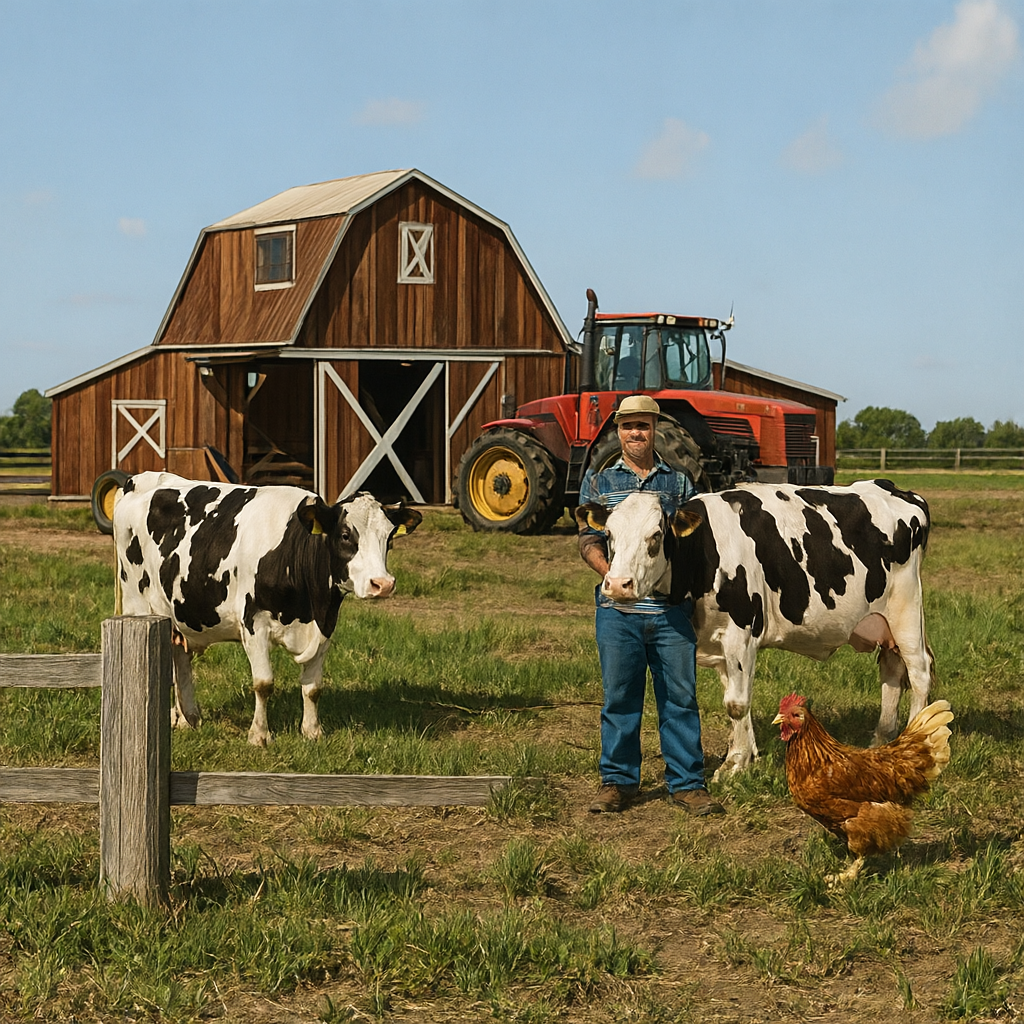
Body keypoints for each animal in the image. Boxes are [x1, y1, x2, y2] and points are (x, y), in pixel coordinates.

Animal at [113, 472, 422, 746]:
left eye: (389, 537)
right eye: (346, 535)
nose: (382, 584)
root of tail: (138, 479)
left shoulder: (326, 625)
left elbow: (313, 687)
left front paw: (312, 732)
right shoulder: (254, 624)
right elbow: (264, 683)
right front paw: (259, 735)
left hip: (180, 613)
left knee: (180, 658)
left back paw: (187, 718)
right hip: (137, 604)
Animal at [576, 479, 934, 777]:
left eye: (656, 535)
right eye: (609, 535)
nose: (618, 584)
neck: (702, 553)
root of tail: (896, 489)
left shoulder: (741, 631)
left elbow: (736, 703)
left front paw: (734, 765)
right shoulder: (721, 643)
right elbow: (737, 698)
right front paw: (748, 756)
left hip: (906, 608)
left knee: (919, 671)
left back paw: (916, 741)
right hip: (883, 622)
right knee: (891, 670)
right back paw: (882, 739)